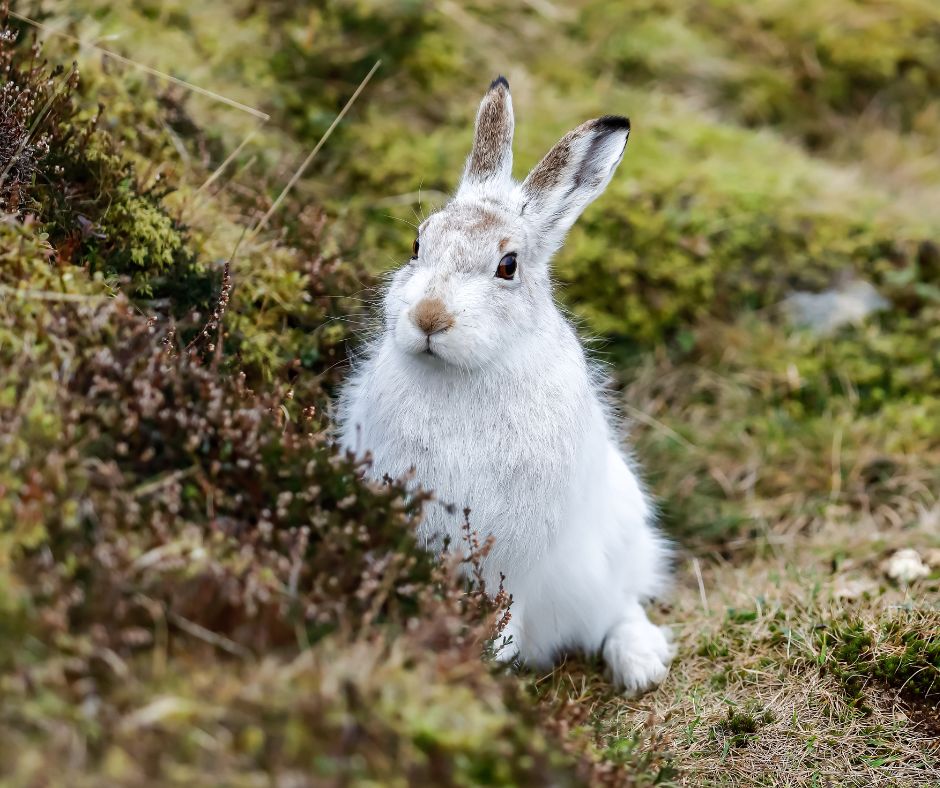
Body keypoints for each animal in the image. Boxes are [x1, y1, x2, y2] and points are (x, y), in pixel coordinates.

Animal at [338, 76, 674, 695]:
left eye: (508, 265)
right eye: (416, 245)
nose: (429, 316)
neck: (461, 373)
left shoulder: (516, 552)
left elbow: (508, 602)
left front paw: (490, 656)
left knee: (618, 607)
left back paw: (642, 662)